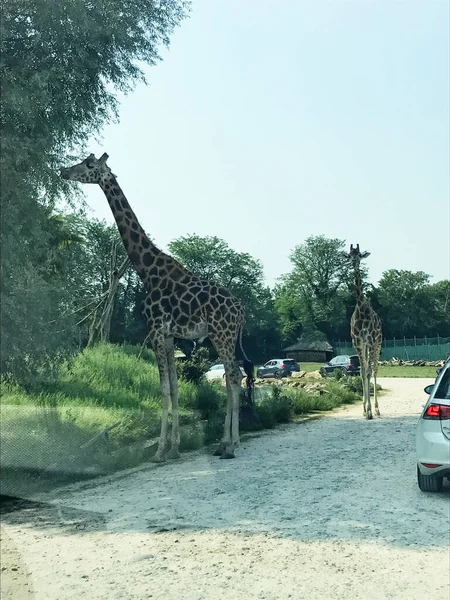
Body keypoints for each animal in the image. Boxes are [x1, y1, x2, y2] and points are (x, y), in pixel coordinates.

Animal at [61, 154, 255, 460]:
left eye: (89, 165)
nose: (64, 171)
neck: (147, 270)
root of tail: (242, 310)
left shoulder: (154, 331)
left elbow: (163, 388)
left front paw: (160, 451)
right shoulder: (169, 335)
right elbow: (174, 388)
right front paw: (174, 447)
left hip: (220, 334)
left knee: (233, 375)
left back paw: (230, 444)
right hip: (227, 336)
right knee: (232, 375)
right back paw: (226, 442)